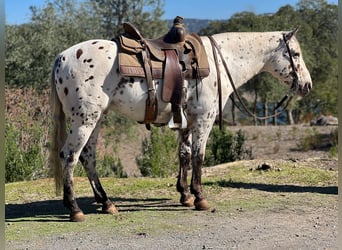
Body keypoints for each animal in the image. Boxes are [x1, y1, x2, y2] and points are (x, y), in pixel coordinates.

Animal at [49, 28, 312, 222]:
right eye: (296, 54)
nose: (307, 86)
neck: (220, 61)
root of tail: (61, 57)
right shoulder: (204, 119)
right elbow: (198, 156)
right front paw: (200, 197)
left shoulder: (187, 121)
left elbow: (184, 155)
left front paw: (185, 194)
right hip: (84, 120)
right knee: (70, 156)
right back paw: (75, 209)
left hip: (96, 119)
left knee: (88, 157)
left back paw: (106, 203)